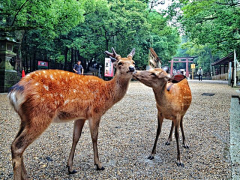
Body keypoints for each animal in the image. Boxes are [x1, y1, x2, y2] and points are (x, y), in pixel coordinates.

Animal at [8, 47, 135, 179]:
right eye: (120, 63)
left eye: (133, 62)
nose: (132, 68)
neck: (107, 94)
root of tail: (14, 92)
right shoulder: (95, 112)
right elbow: (94, 137)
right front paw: (99, 165)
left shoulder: (81, 116)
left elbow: (75, 137)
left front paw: (70, 167)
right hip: (40, 115)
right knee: (17, 146)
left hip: (25, 118)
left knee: (14, 143)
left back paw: (26, 176)